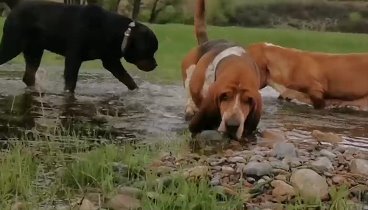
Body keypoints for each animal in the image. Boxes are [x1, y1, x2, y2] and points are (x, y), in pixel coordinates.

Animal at [0, 0, 157, 92]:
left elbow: (127, 78)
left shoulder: (111, 61)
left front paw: (136, 91)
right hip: (12, 46)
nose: (155, 65)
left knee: (29, 76)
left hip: (34, 51)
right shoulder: (73, 58)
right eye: (149, 51)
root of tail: (18, 5)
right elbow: (70, 83)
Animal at [182, 0, 264, 141]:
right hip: (189, 76)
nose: (232, 125)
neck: (237, 63)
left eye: (248, 100)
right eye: (225, 96)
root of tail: (205, 42)